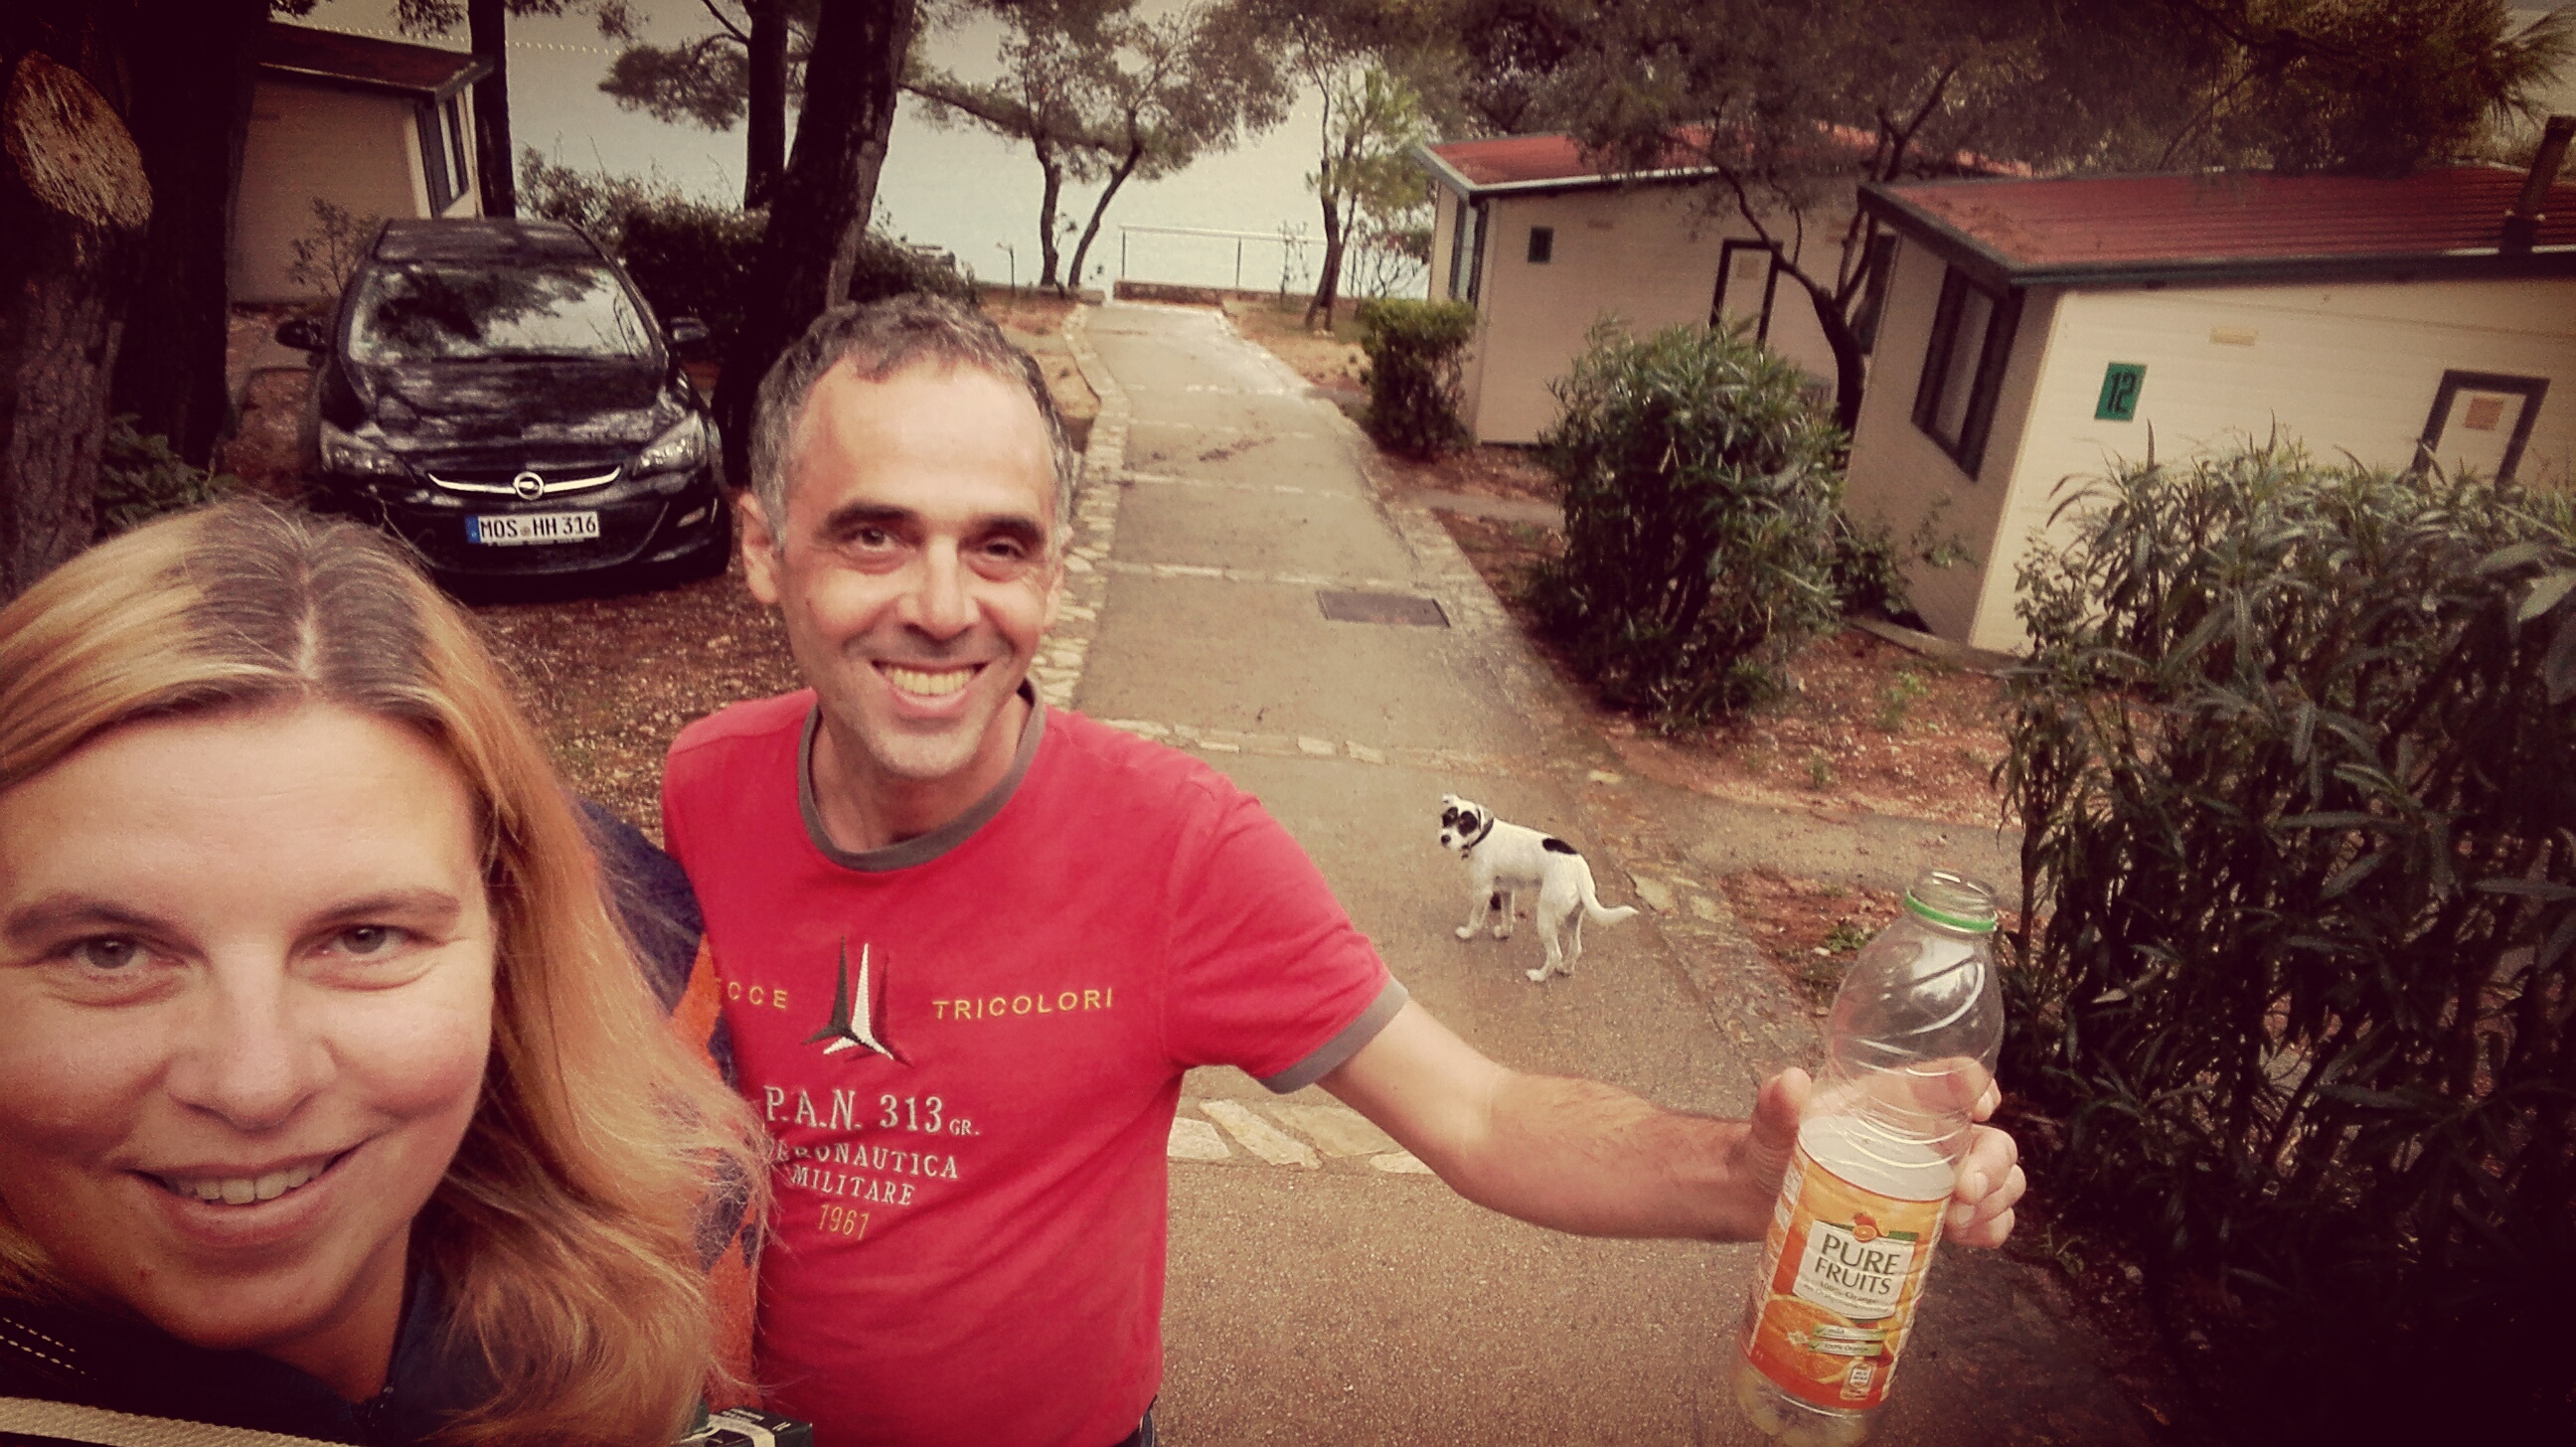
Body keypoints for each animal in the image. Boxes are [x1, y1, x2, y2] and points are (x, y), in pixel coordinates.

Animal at [1437, 794, 1639, 981]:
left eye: (1464, 825)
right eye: (1447, 819)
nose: (1444, 838)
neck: (1483, 836)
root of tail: (1579, 871)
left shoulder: (1483, 892)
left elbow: (1475, 918)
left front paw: (1467, 933)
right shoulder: (1506, 890)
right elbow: (1507, 915)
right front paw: (1504, 932)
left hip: (1546, 917)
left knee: (1555, 954)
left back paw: (1539, 976)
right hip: (1573, 917)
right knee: (1576, 948)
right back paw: (1565, 969)